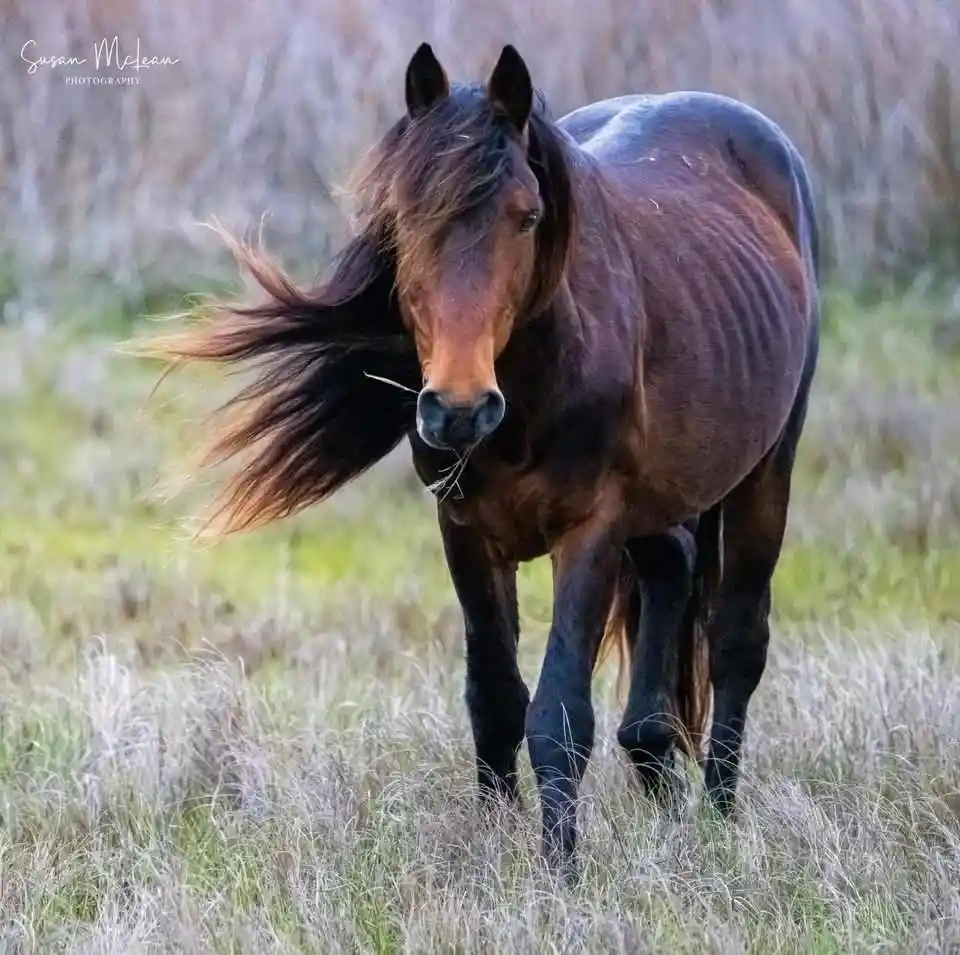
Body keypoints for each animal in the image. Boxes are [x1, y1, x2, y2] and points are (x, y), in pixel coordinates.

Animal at [141, 43, 820, 880]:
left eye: (527, 218)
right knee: (674, 567)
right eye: (403, 222)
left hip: (766, 472)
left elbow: (559, 711)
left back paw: (722, 817)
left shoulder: (589, 531)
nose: (459, 408)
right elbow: (495, 699)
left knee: (735, 641)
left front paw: (560, 871)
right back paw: (659, 773)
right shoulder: (465, 531)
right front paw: (494, 845)